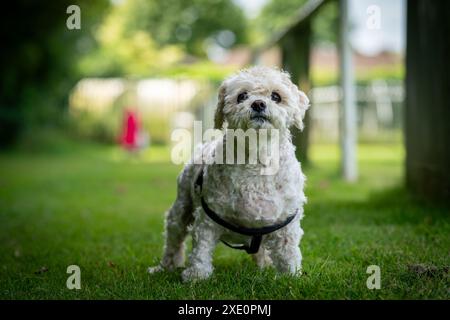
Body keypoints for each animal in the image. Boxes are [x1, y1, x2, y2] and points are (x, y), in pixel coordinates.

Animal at [148, 66, 310, 282]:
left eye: (276, 96)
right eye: (242, 96)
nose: (258, 103)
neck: (256, 158)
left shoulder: (286, 223)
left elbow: (288, 252)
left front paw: (290, 277)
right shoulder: (207, 219)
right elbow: (201, 249)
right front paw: (197, 275)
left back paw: (265, 264)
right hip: (181, 209)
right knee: (173, 240)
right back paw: (164, 267)